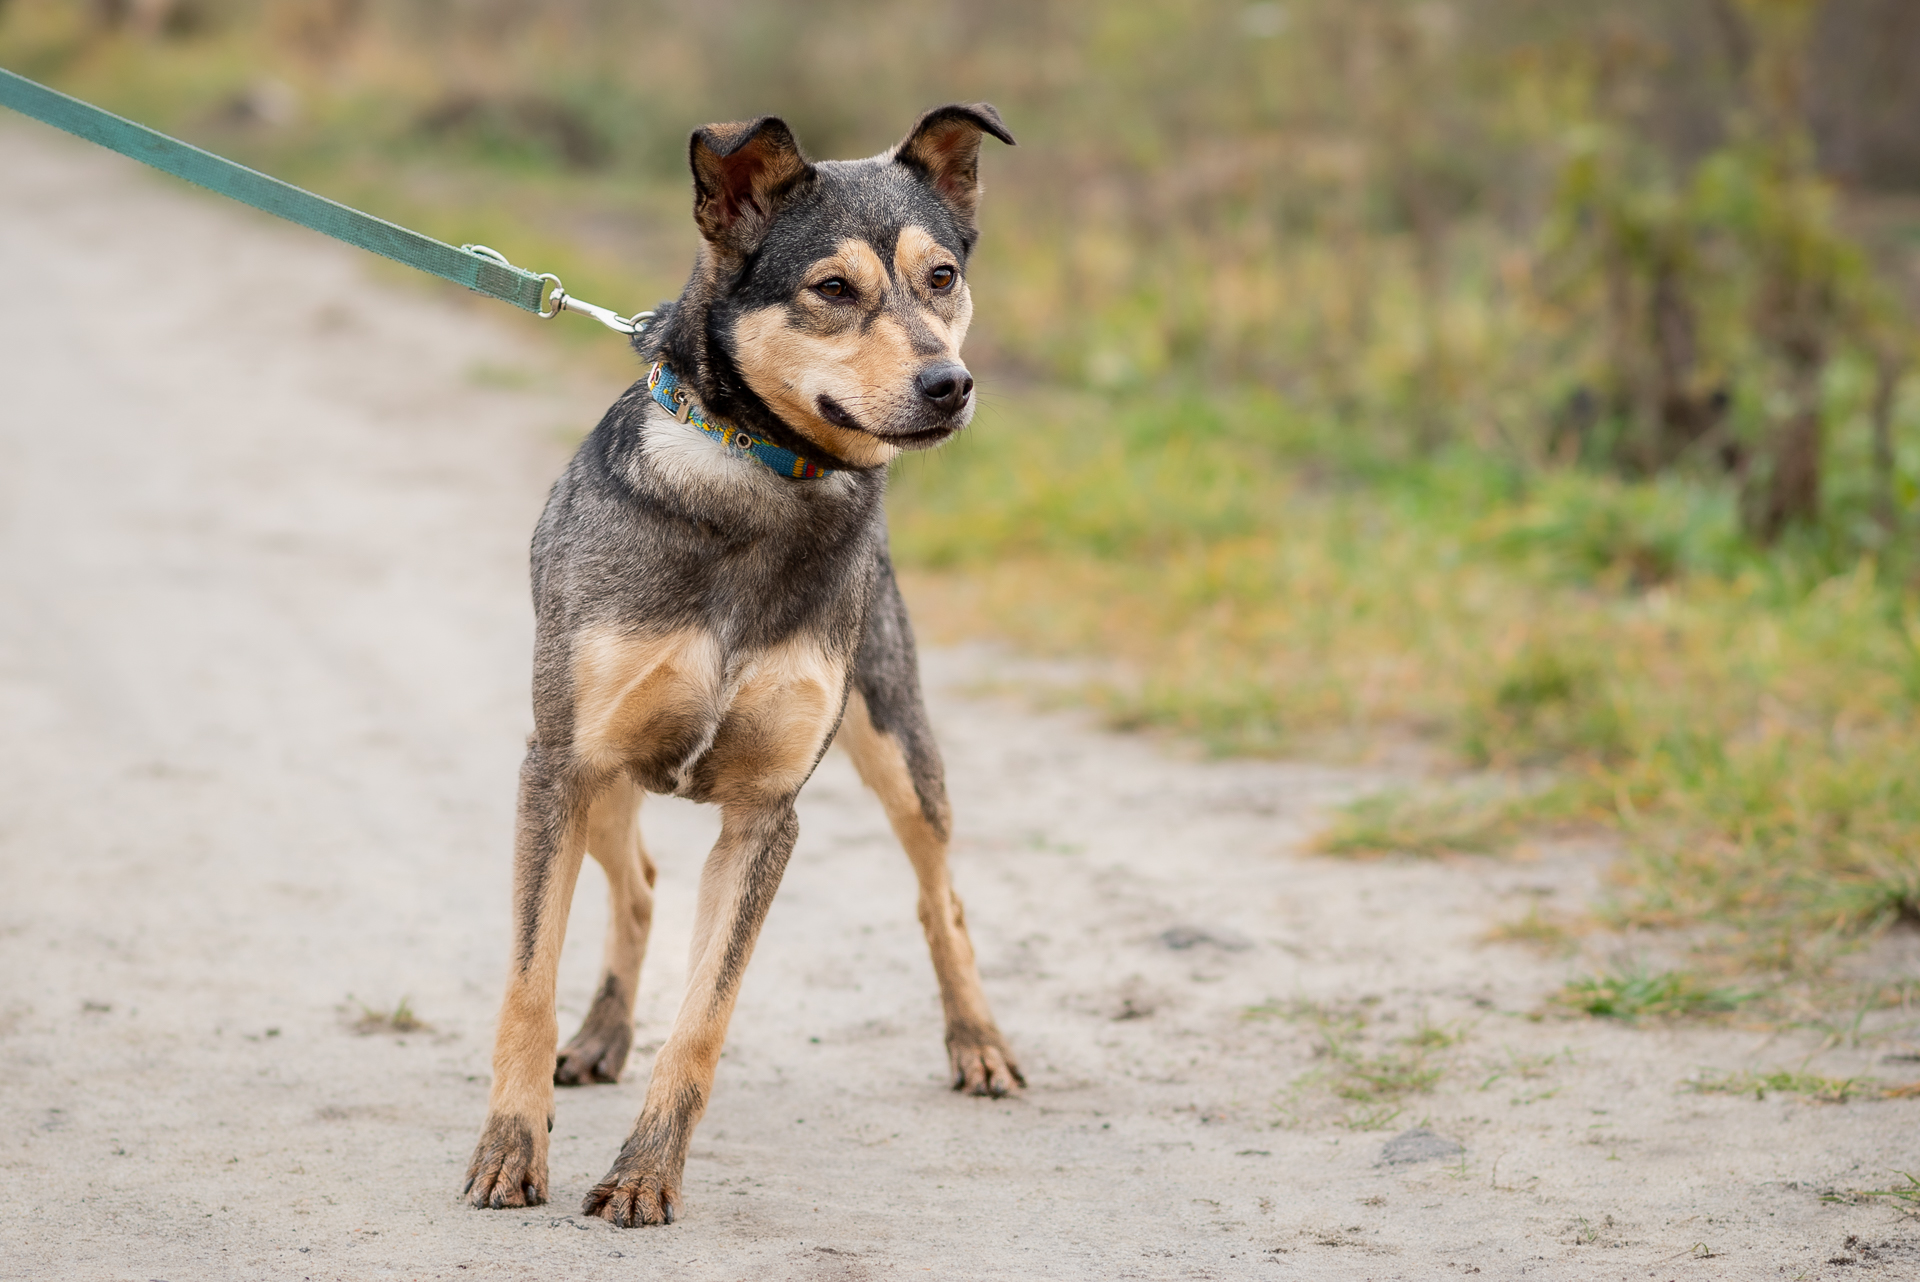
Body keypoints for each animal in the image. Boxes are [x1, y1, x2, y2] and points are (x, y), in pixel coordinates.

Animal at [462, 102, 1021, 1228]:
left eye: (942, 276)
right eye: (833, 288)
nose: (950, 384)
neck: (762, 484)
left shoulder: (767, 814)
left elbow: (703, 1021)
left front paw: (645, 1174)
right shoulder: (559, 765)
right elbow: (528, 983)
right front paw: (510, 1148)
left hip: (900, 743)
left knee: (940, 898)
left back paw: (978, 1043)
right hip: (596, 775)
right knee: (635, 882)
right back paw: (599, 1035)